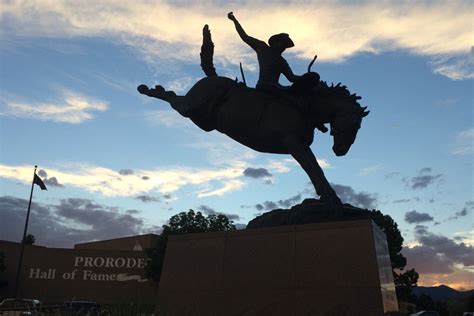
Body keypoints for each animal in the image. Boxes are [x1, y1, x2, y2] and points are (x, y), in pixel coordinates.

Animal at [139, 25, 368, 212]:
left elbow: (315, 167)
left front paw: (330, 197)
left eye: (358, 127)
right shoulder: (292, 142)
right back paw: (149, 90)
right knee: (173, 98)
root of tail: (212, 78)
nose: (341, 150)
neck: (306, 108)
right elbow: (313, 167)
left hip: (202, 120)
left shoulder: (299, 144)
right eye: (353, 124)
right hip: (192, 108)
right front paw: (330, 198)